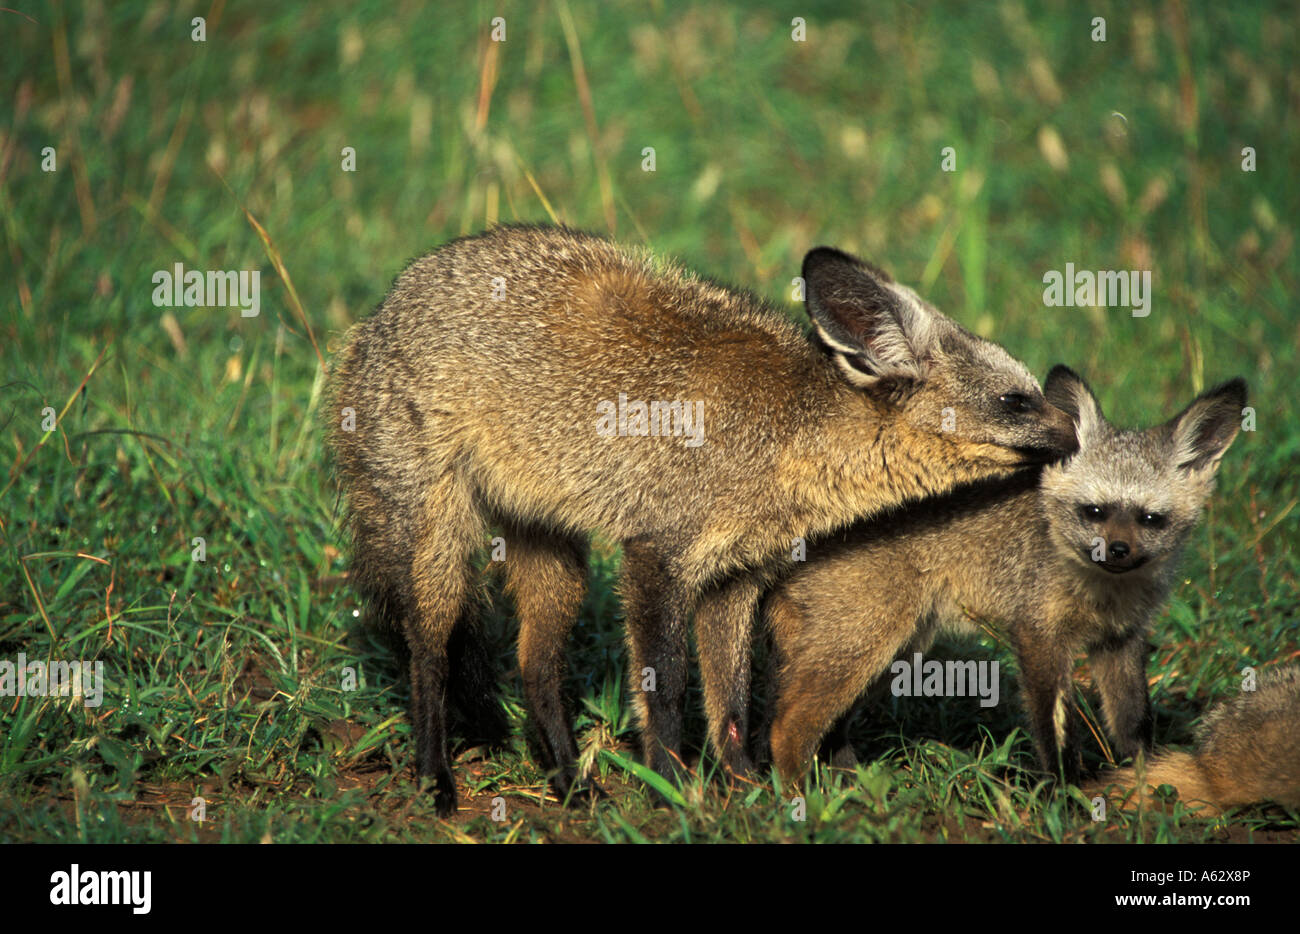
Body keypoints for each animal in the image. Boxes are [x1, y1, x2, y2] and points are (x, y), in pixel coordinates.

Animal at [326, 223, 1078, 815]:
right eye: (1016, 401)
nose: (1078, 433)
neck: (788, 436)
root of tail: (386, 305)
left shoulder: (735, 579)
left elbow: (732, 704)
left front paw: (743, 786)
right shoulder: (657, 555)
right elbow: (665, 691)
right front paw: (670, 784)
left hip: (553, 555)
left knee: (534, 667)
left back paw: (569, 780)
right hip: (438, 545)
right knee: (429, 656)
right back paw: (436, 779)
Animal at [764, 366, 1248, 784]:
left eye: (1150, 519)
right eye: (1094, 512)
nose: (1117, 551)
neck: (1101, 592)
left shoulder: (1120, 641)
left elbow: (1134, 727)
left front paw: (1144, 786)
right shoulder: (1038, 636)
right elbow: (1054, 732)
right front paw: (1066, 797)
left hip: (897, 653)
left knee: (826, 731)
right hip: (866, 646)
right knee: (785, 729)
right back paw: (800, 799)